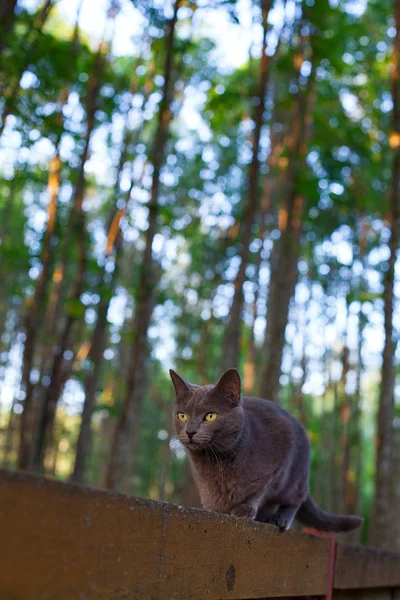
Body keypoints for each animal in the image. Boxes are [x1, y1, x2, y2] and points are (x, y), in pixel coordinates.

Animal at [170, 364, 364, 532]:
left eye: (210, 416)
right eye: (182, 415)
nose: (190, 431)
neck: (214, 461)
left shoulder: (274, 469)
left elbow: (257, 490)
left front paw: (243, 510)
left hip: (293, 476)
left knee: (296, 498)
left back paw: (281, 519)